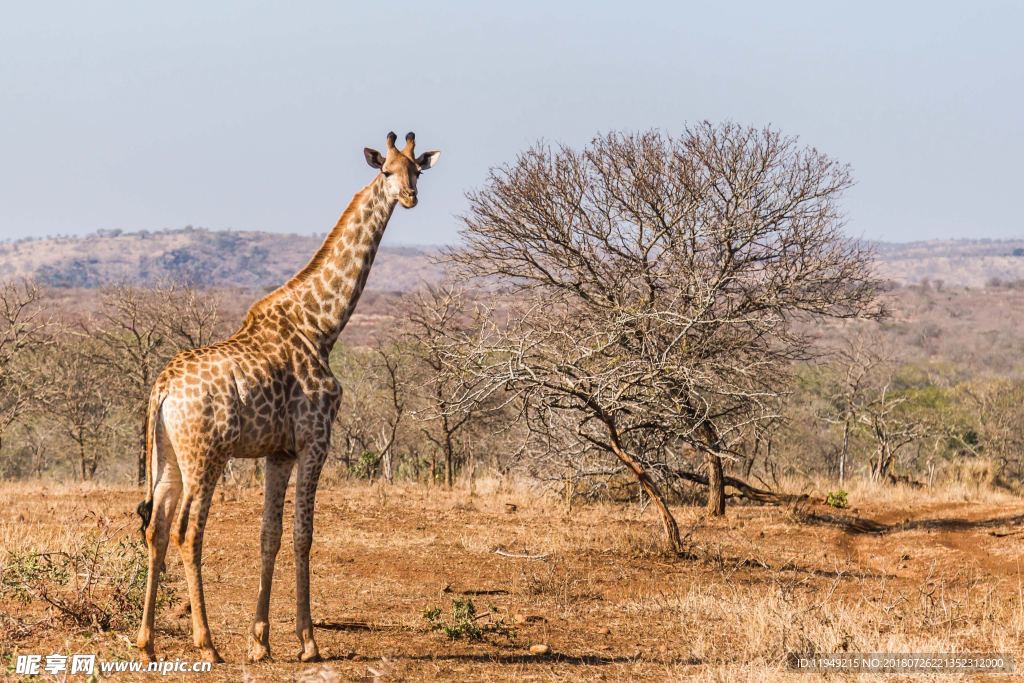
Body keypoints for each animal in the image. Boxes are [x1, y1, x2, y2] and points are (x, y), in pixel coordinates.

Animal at [135, 132, 440, 663]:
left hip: (168, 457)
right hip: (206, 455)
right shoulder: (315, 440)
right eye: (386, 171)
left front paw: (260, 642)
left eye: (416, 170)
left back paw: (147, 643)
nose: (409, 197)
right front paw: (308, 642)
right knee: (187, 532)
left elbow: (269, 535)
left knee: (156, 529)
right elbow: (303, 535)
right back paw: (207, 644)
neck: (323, 327)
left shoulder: (277, 452)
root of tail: (162, 387)